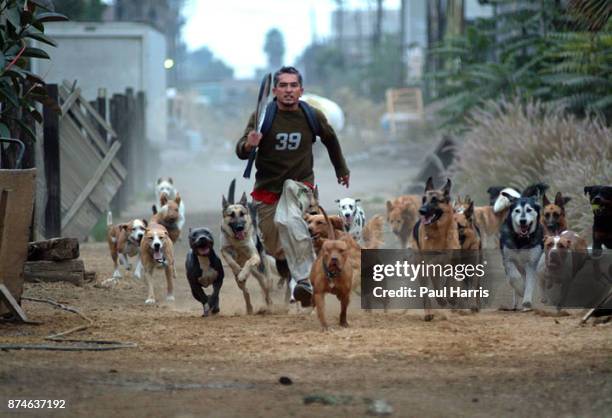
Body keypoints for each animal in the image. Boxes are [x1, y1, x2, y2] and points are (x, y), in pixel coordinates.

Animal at [220, 181, 272, 316]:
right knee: (246, 292)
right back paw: (249, 309)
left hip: (261, 269)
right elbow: (231, 261)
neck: (237, 242)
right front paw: (238, 270)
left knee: (266, 286)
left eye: (242, 214)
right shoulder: (224, 250)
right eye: (231, 215)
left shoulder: (255, 256)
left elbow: (249, 261)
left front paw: (242, 273)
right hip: (245, 282)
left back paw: (269, 305)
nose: (239, 227)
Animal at [412, 176, 460, 320]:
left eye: (434, 200)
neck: (440, 233)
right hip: (421, 269)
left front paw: (452, 297)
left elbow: (451, 282)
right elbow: (436, 286)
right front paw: (442, 300)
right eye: (423, 199)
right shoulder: (431, 265)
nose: (421, 211)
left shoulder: (454, 262)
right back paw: (429, 312)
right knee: (426, 292)